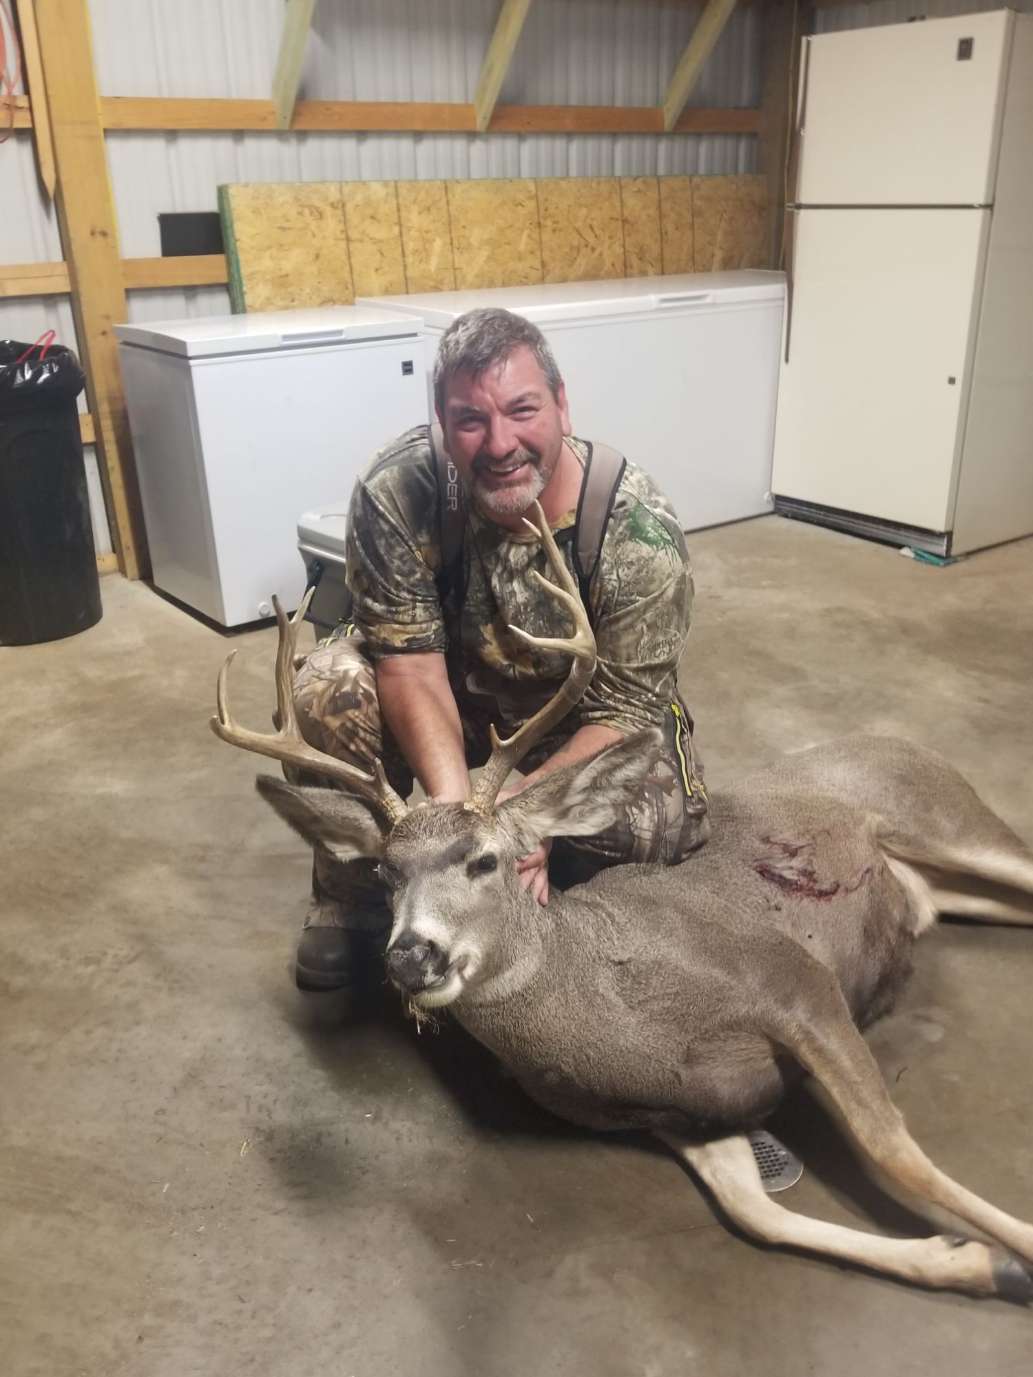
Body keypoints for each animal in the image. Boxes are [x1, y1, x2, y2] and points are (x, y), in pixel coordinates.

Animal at [211, 504, 1033, 1302]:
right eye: (385, 874)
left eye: (486, 859)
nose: (414, 955)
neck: (614, 1008)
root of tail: (902, 741)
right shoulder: (685, 1109)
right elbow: (754, 1210)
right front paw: (980, 1263)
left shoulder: (794, 981)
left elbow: (894, 1150)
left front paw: (1013, 1251)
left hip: (947, 819)